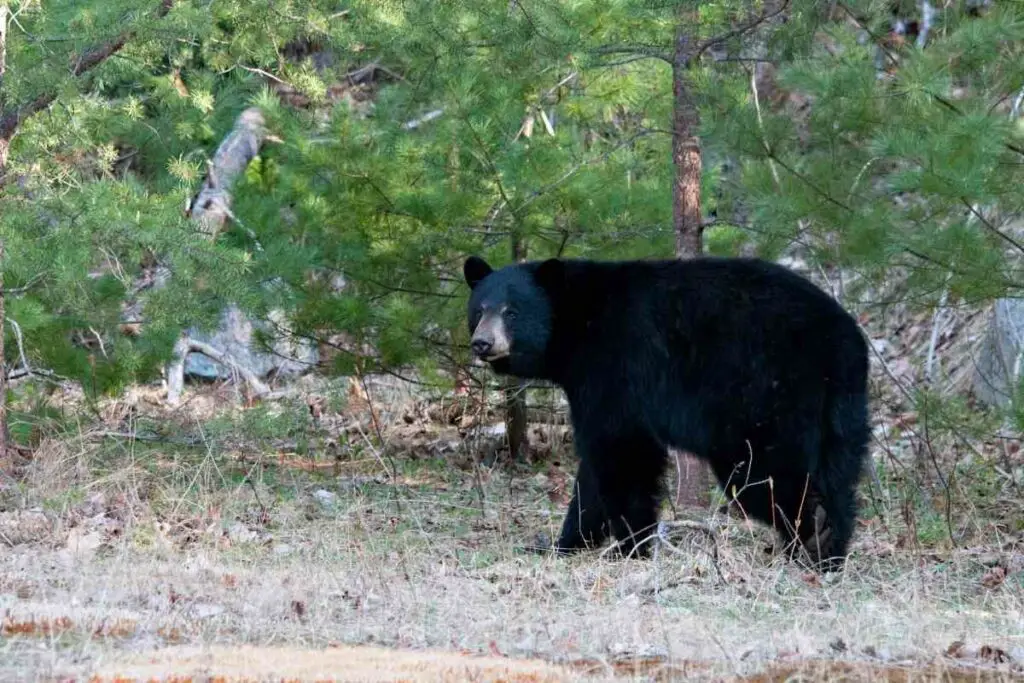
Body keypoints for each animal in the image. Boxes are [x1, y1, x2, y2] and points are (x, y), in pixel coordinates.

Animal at [464, 254, 872, 573]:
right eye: (478, 310)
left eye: (512, 312)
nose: (482, 343)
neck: (579, 326)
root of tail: (844, 338)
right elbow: (594, 474)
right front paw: (563, 544)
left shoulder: (615, 366)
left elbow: (620, 452)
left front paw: (631, 547)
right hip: (842, 406)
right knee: (839, 474)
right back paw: (829, 550)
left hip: (769, 395)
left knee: (769, 474)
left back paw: (812, 538)